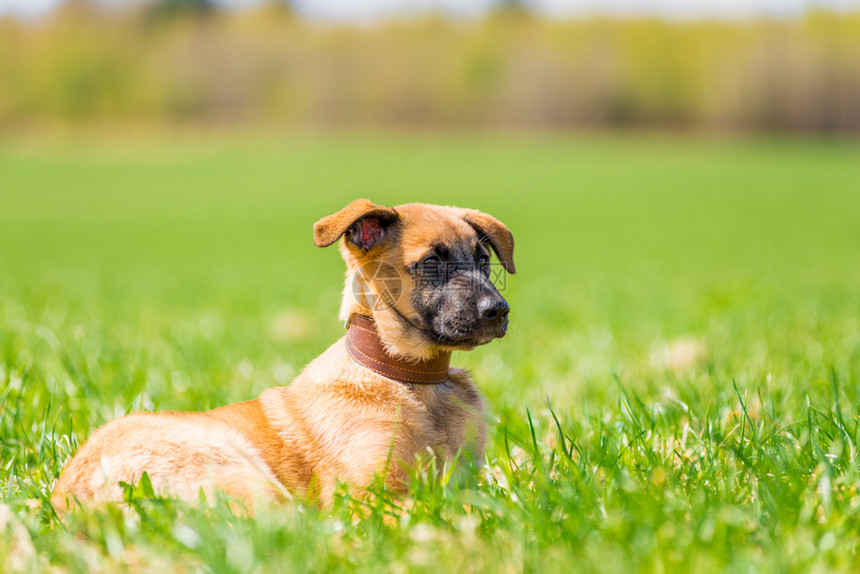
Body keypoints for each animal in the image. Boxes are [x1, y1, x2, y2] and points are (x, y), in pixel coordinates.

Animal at [53, 201, 516, 512]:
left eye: (483, 259)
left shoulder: (463, 478)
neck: (413, 379)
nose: (498, 311)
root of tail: (72, 498)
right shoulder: (373, 495)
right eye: (431, 261)